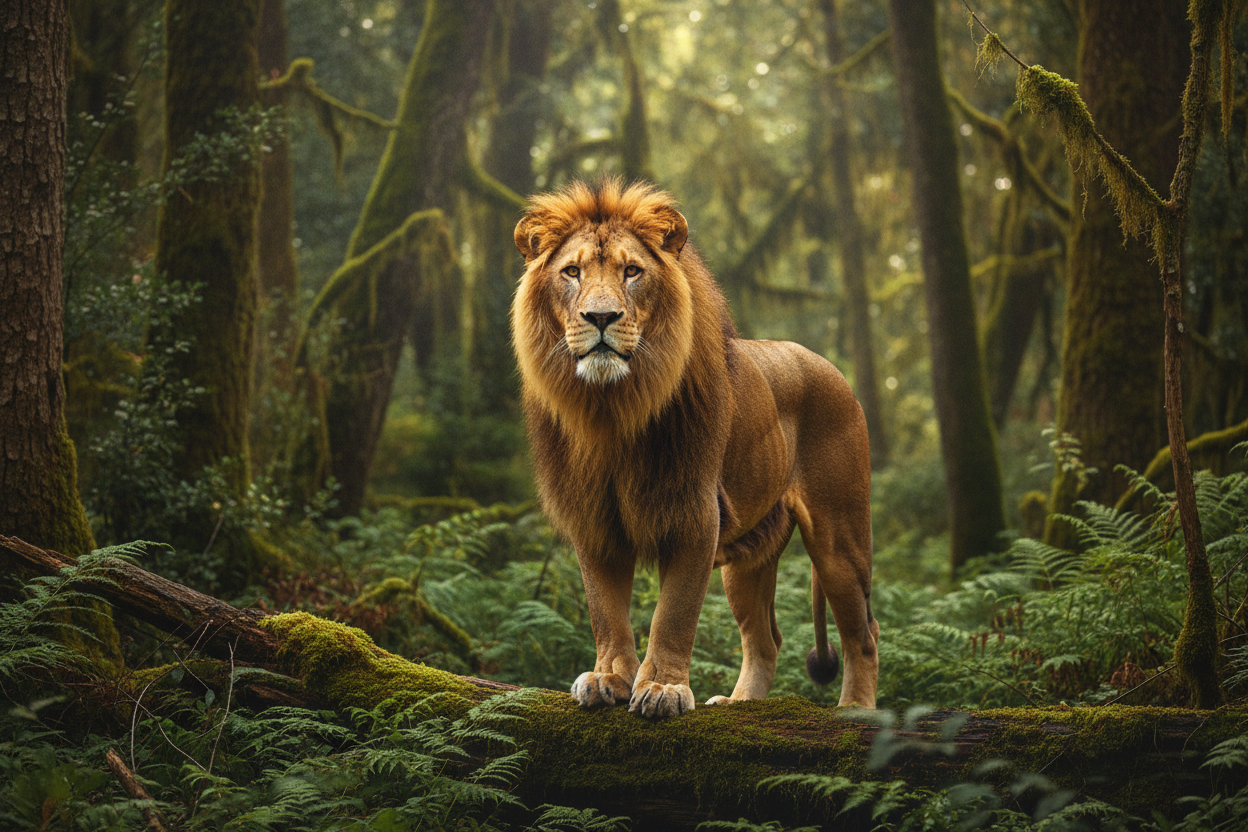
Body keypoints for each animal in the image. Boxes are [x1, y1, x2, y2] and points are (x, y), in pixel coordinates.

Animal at [511, 179, 878, 718]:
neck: (611, 409)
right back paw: (739, 704)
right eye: (572, 272)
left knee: (864, 632)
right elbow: (605, 612)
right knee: (766, 640)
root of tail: (829, 367)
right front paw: (607, 678)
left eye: (632, 271)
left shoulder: (694, 513)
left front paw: (663, 688)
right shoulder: (594, 521)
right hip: (748, 559)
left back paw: (856, 708)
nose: (601, 317)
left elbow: (674, 613)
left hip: (839, 537)